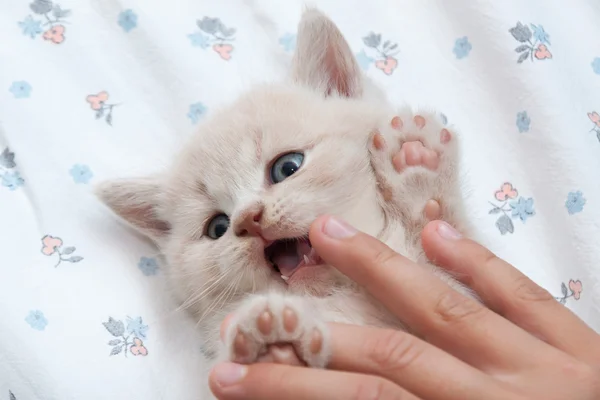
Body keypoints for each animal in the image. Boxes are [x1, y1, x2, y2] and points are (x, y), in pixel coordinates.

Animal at [96, 7, 476, 382]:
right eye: (217, 227)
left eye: (287, 167)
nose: (248, 219)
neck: (344, 292)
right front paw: (272, 342)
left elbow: (436, 251)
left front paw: (418, 168)